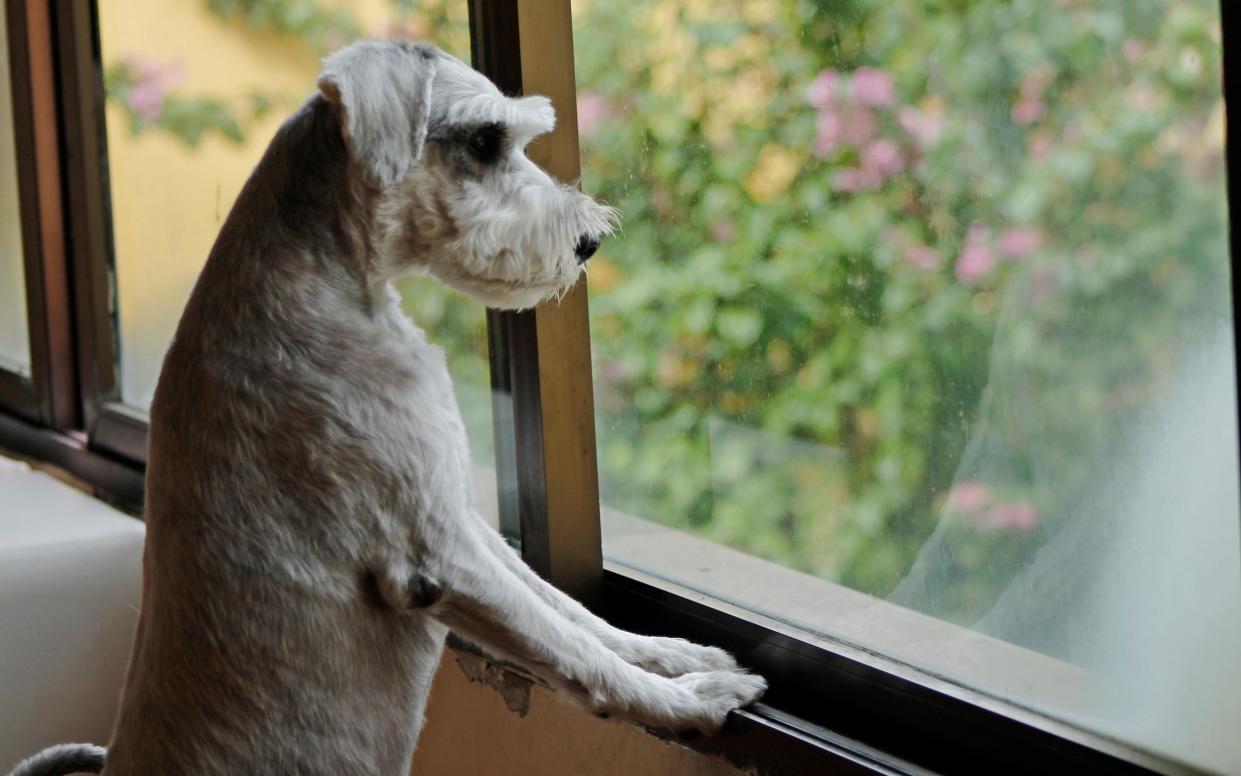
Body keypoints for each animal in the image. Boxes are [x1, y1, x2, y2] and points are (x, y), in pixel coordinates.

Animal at [9, 40, 764, 774]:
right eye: (485, 139)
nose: (589, 241)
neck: (330, 285)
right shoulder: (434, 553)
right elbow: (566, 647)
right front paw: (689, 701)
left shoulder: (457, 510)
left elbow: (567, 607)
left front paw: (678, 655)